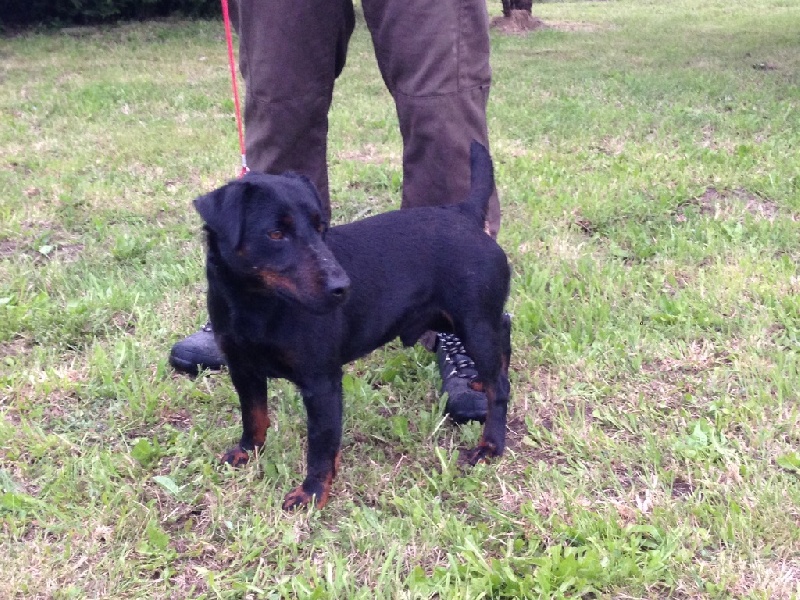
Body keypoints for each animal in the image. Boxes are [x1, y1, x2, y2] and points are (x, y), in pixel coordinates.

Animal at [197, 142, 516, 510]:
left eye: (321, 228)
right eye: (275, 234)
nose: (342, 286)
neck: (256, 306)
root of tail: (464, 212)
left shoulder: (321, 383)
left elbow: (321, 445)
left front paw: (312, 492)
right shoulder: (243, 370)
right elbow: (254, 416)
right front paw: (247, 451)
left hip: (473, 323)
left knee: (500, 386)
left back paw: (490, 445)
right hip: (472, 321)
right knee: (504, 331)